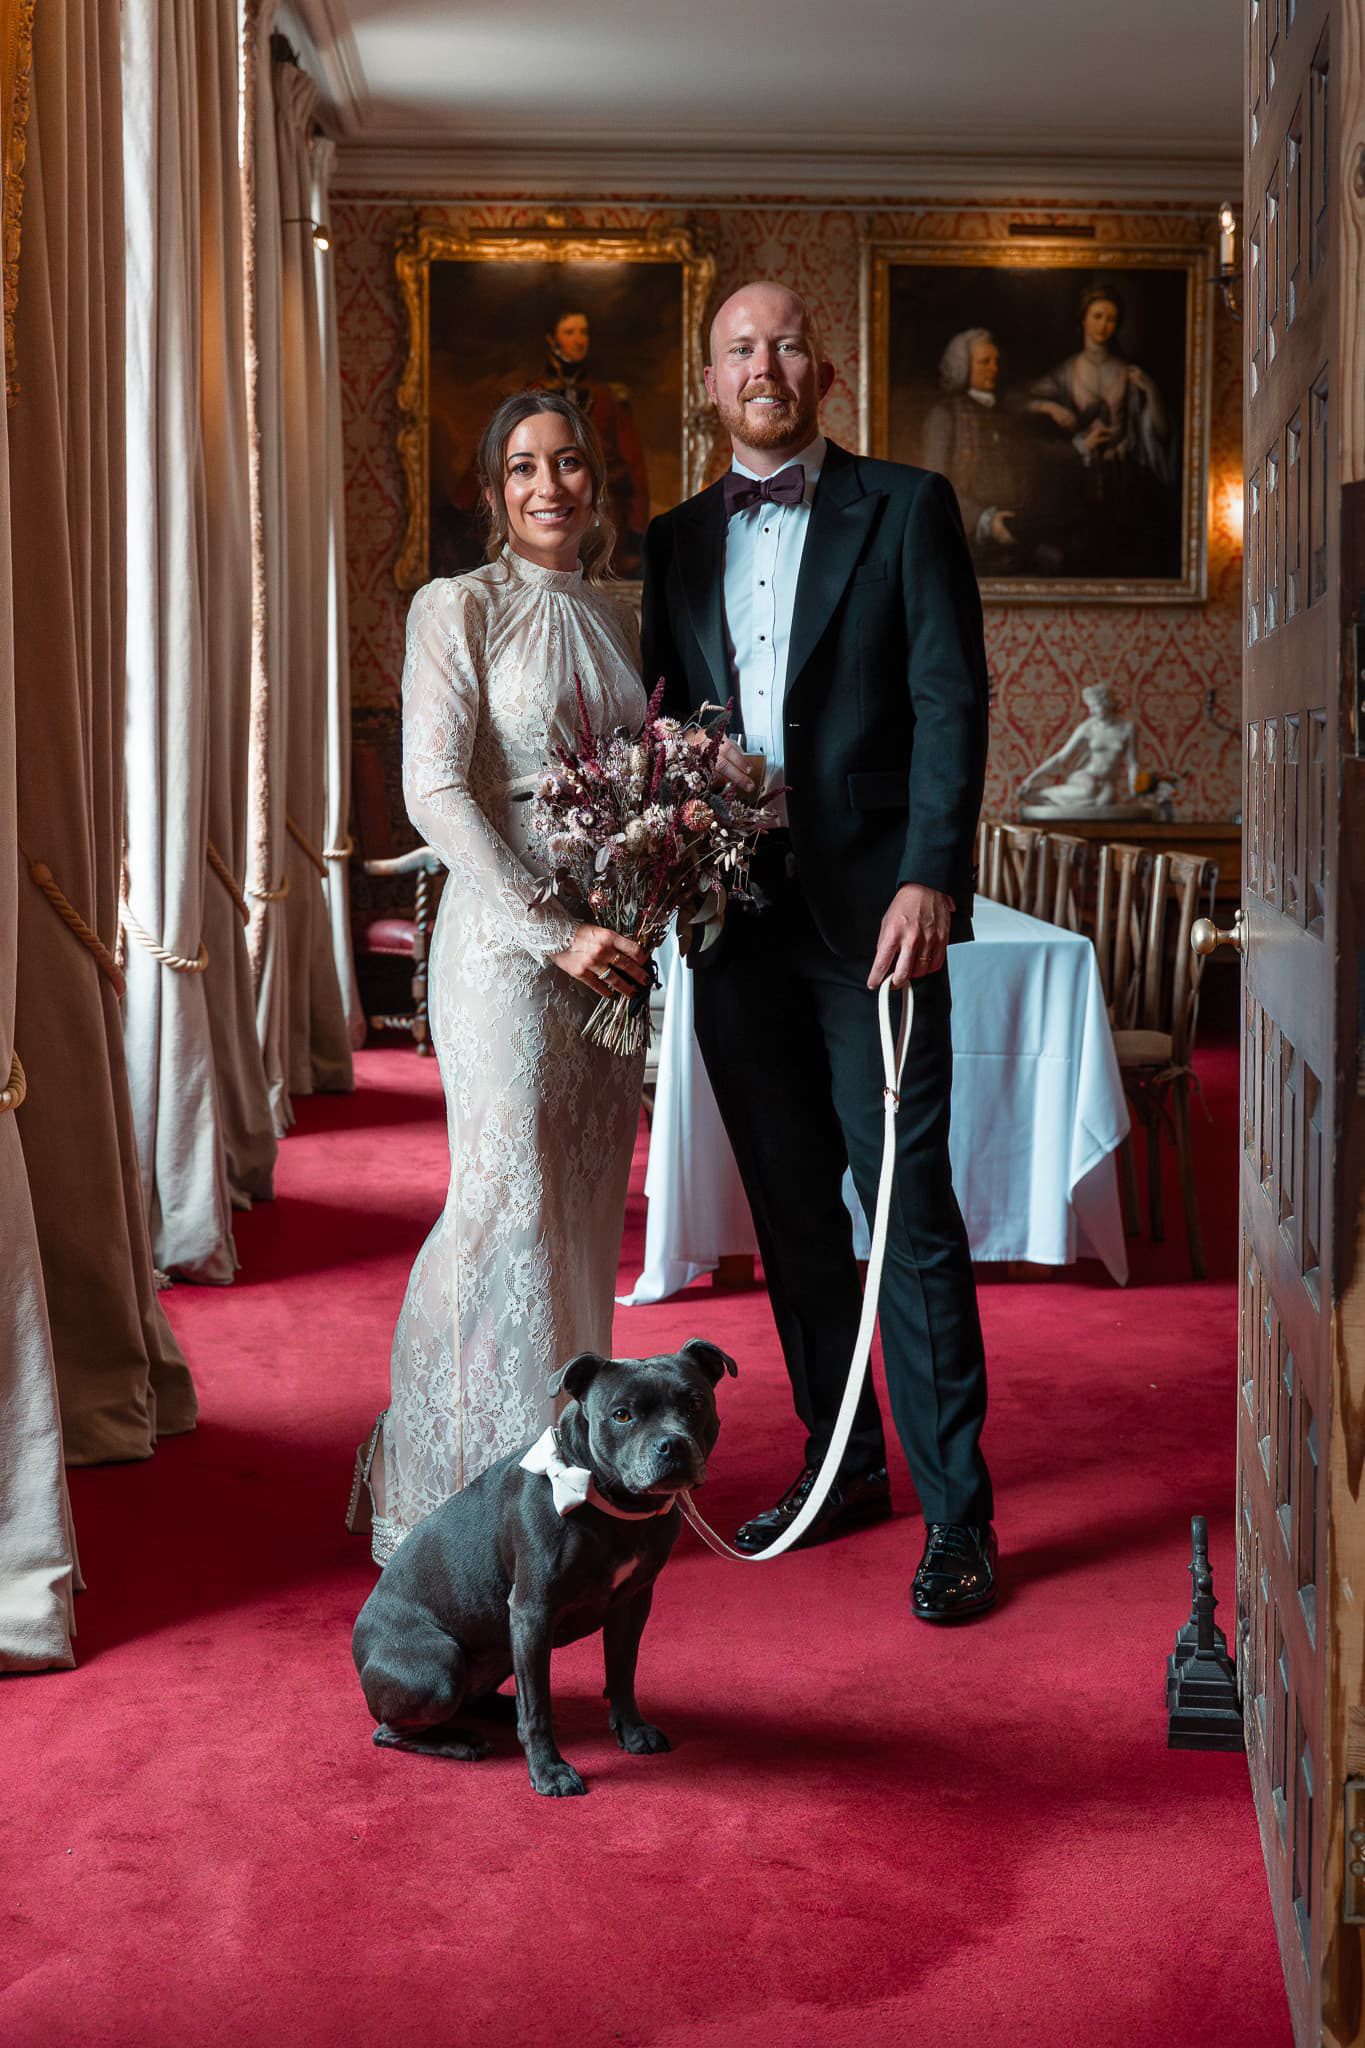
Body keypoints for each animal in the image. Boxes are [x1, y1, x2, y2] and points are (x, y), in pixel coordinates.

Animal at [352, 1339, 737, 1797]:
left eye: (694, 1403)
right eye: (621, 1415)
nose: (672, 1445)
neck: (611, 1504)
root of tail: (358, 1649)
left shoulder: (632, 1605)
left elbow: (622, 1671)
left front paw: (632, 1730)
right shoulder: (533, 1613)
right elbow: (537, 1705)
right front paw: (549, 1770)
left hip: (501, 1646)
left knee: (477, 1698)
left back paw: (503, 1710)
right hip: (440, 1666)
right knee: (389, 1732)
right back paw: (461, 1742)